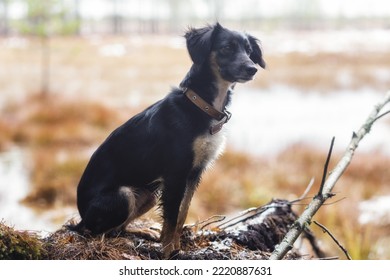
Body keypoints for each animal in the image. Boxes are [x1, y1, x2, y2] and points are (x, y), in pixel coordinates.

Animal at [69, 23, 266, 260]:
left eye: (249, 51)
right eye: (227, 47)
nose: (252, 69)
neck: (200, 106)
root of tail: (81, 218)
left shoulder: (195, 172)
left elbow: (182, 214)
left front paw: (176, 246)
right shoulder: (176, 173)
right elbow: (171, 218)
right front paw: (168, 252)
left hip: (149, 194)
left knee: (117, 230)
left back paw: (145, 232)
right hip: (123, 195)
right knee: (95, 233)